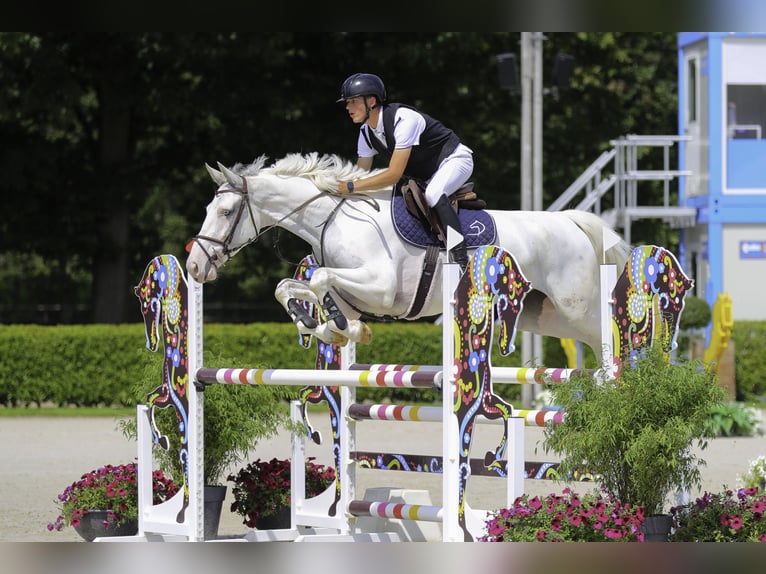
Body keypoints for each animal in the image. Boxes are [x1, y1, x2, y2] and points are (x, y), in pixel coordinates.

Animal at [186, 152, 632, 356]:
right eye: (208, 209)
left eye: (225, 212)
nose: (194, 264)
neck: (333, 216)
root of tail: (572, 222)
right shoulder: (353, 292)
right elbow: (291, 286)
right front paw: (323, 325)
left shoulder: (382, 289)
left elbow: (320, 278)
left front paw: (340, 328)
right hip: (546, 316)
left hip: (576, 307)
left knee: (610, 336)